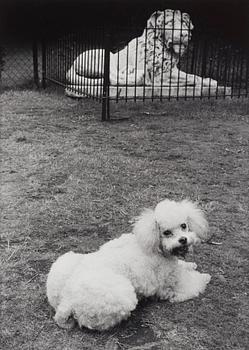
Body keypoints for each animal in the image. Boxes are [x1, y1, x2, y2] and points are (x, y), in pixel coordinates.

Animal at [46, 198, 210, 330]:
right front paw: (204, 277)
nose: (183, 240)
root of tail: (67, 300)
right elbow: (195, 285)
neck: (155, 245)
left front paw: (190, 265)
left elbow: (183, 265)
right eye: (166, 232)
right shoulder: (174, 282)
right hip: (123, 294)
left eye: (184, 225)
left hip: (64, 264)